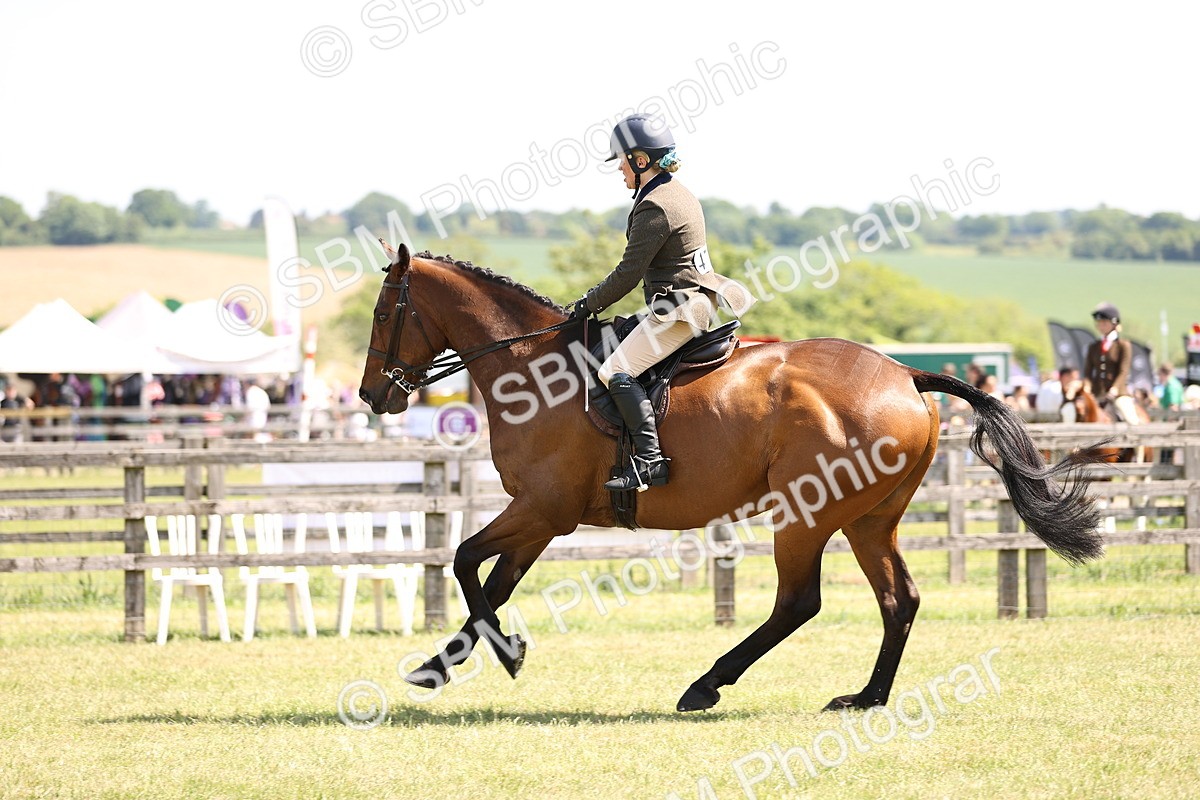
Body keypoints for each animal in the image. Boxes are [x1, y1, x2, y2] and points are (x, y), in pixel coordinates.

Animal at [358, 243, 1108, 713]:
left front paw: (505, 653)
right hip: (871, 520)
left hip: (805, 515)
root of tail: (905, 374)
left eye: (383, 312)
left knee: (799, 603)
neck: (531, 369)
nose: (372, 395)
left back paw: (706, 685)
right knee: (899, 600)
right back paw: (865, 698)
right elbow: (492, 582)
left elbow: (464, 562)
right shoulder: (541, 517)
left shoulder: (542, 509)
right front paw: (447, 663)